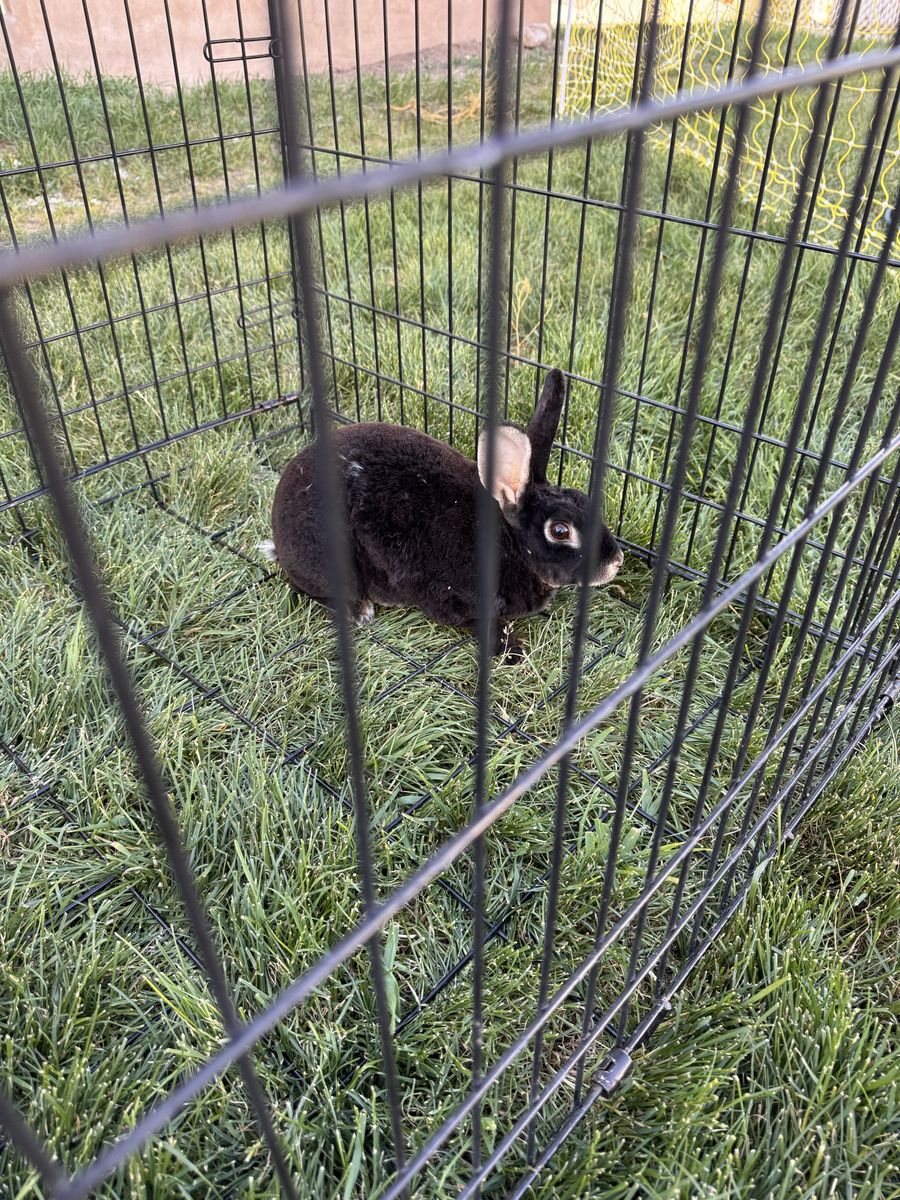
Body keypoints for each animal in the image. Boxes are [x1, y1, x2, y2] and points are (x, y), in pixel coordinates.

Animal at [263, 368, 623, 659]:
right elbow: (487, 629)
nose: (616, 561)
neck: (510, 545)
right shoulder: (463, 606)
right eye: (560, 531)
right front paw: (514, 653)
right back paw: (362, 610)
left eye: (582, 498)